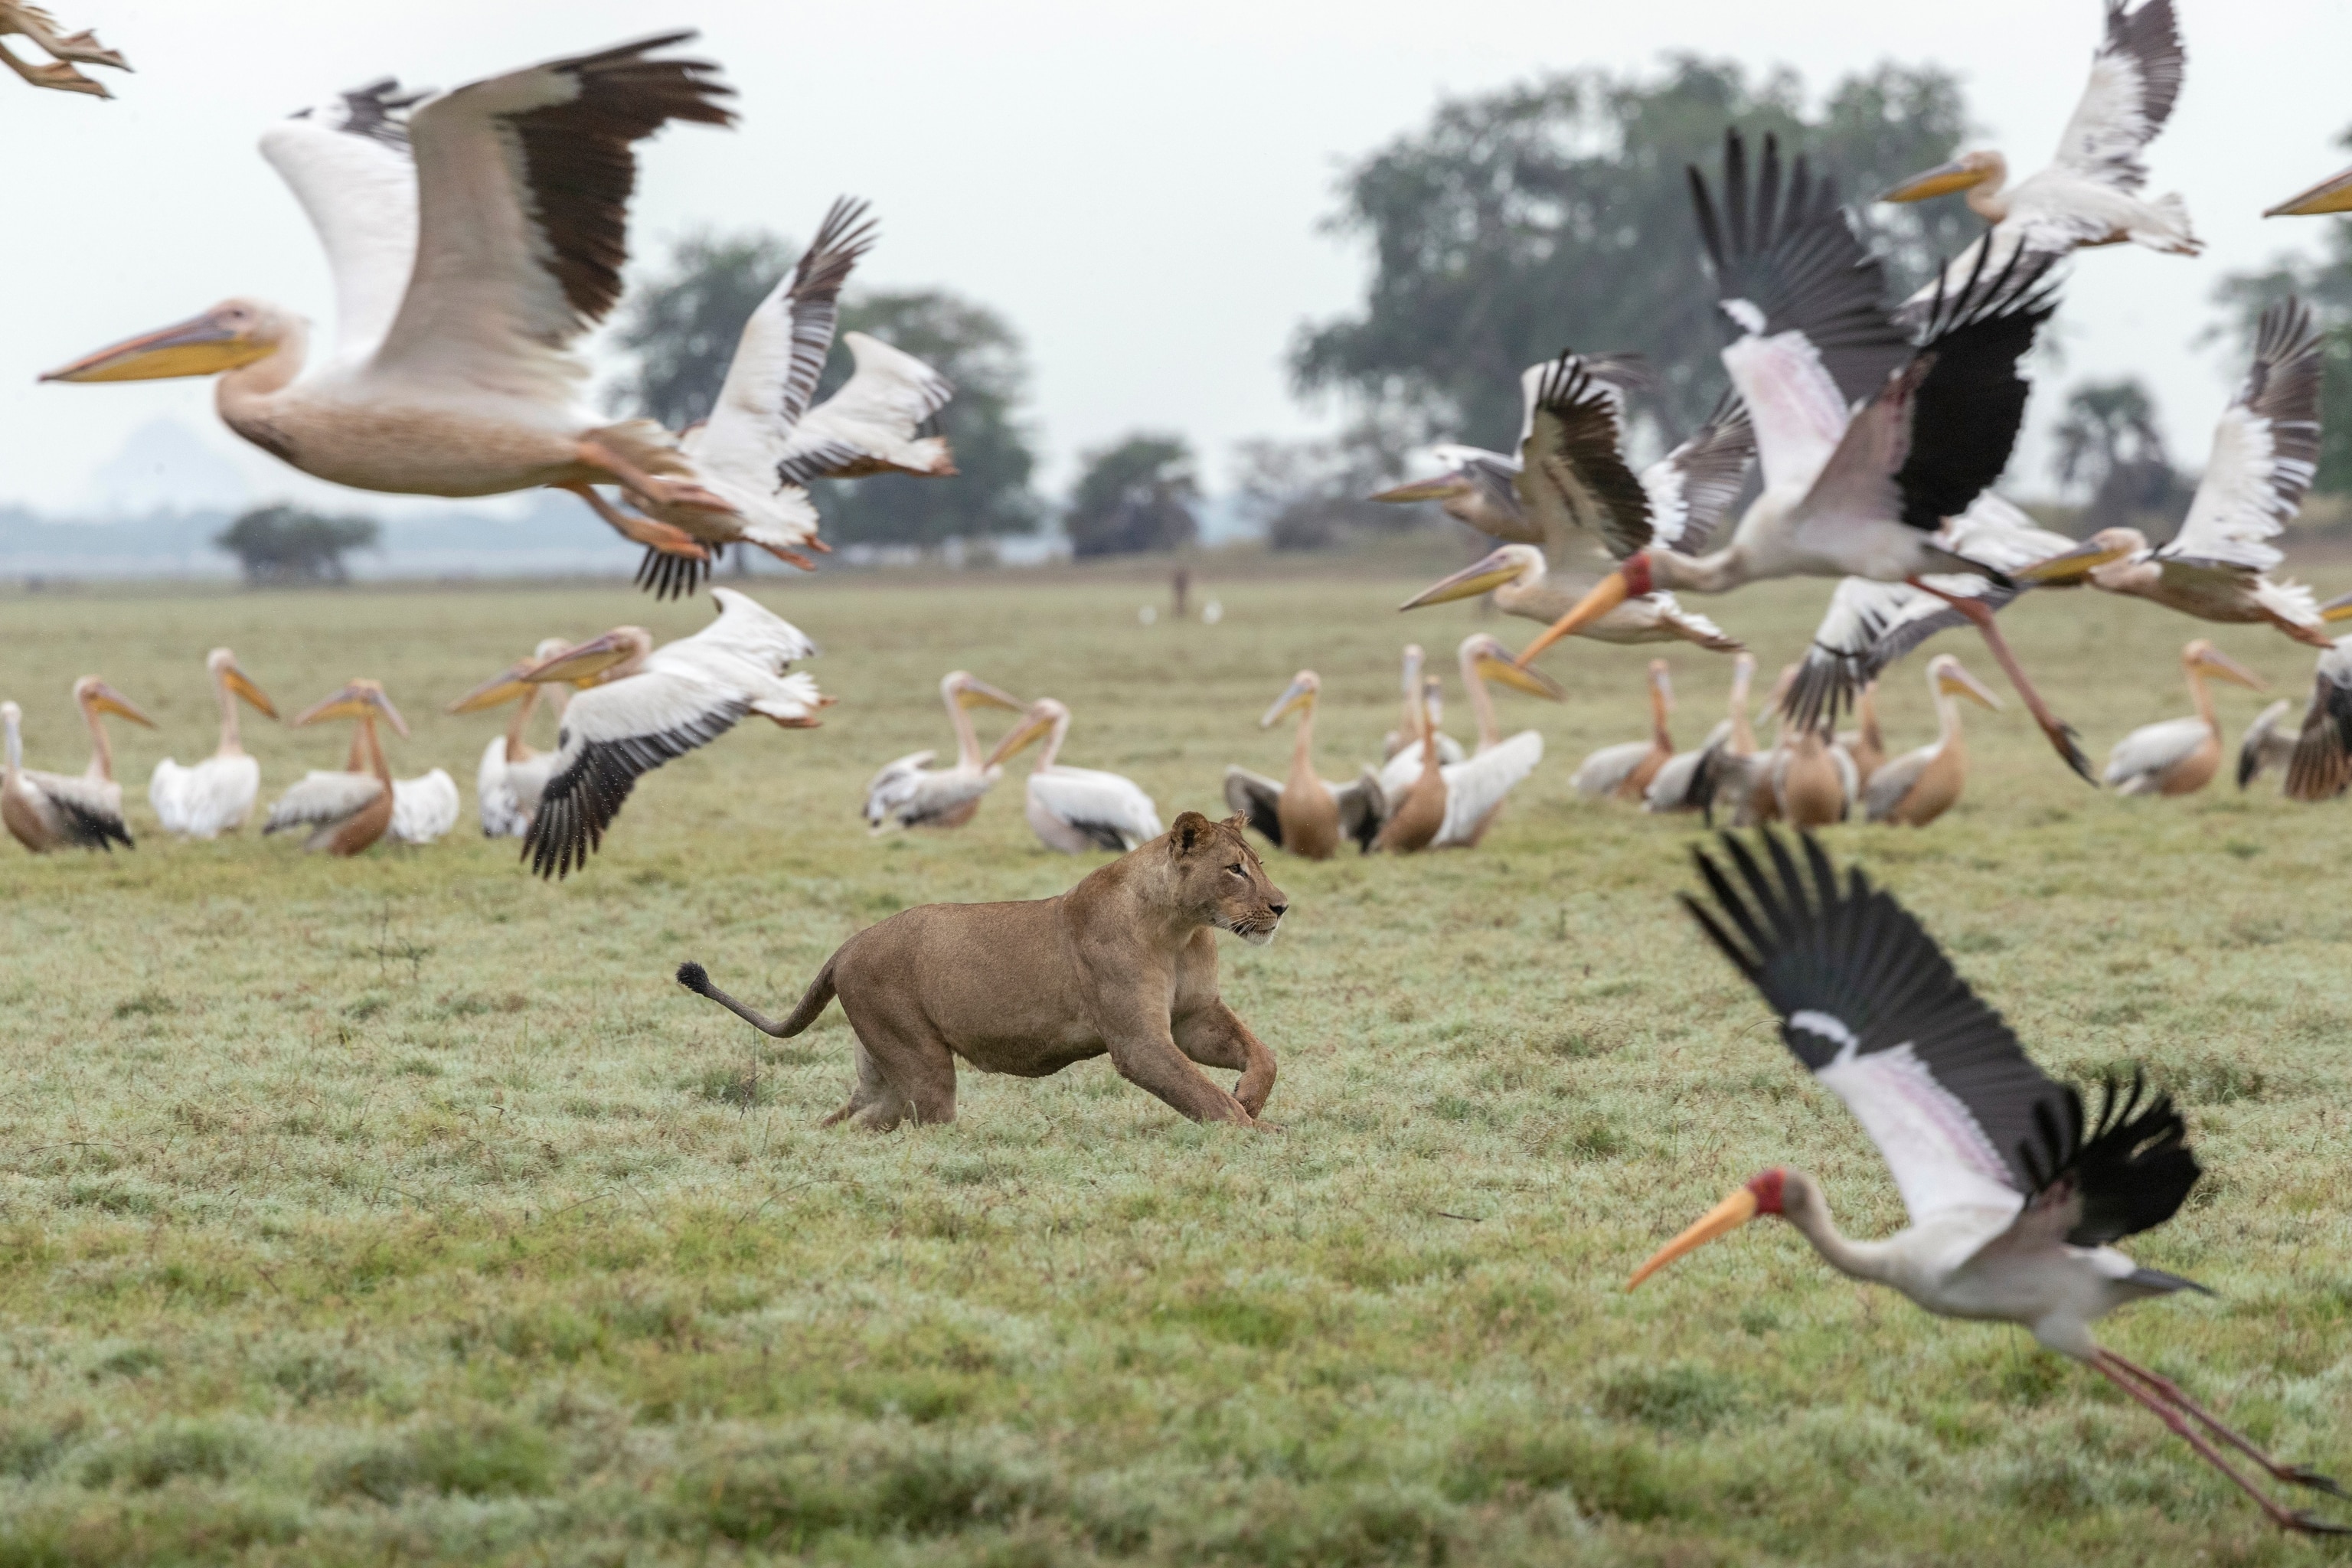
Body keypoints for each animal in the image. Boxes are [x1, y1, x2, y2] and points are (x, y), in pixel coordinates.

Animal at [676, 811, 1287, 1129]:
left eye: (1259, 864)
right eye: (1234, 870)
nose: (1282, 906)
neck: (1180, 926)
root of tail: (848, 945)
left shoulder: (1194, 1017)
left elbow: (1263, 1055)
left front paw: (1251, 1098)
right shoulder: (1140, 1042)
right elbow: (1204, 1097)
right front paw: (1254, 1130)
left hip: (882, 1071)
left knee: (854, 1117)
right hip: (919, 1059)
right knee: (917, 1116)